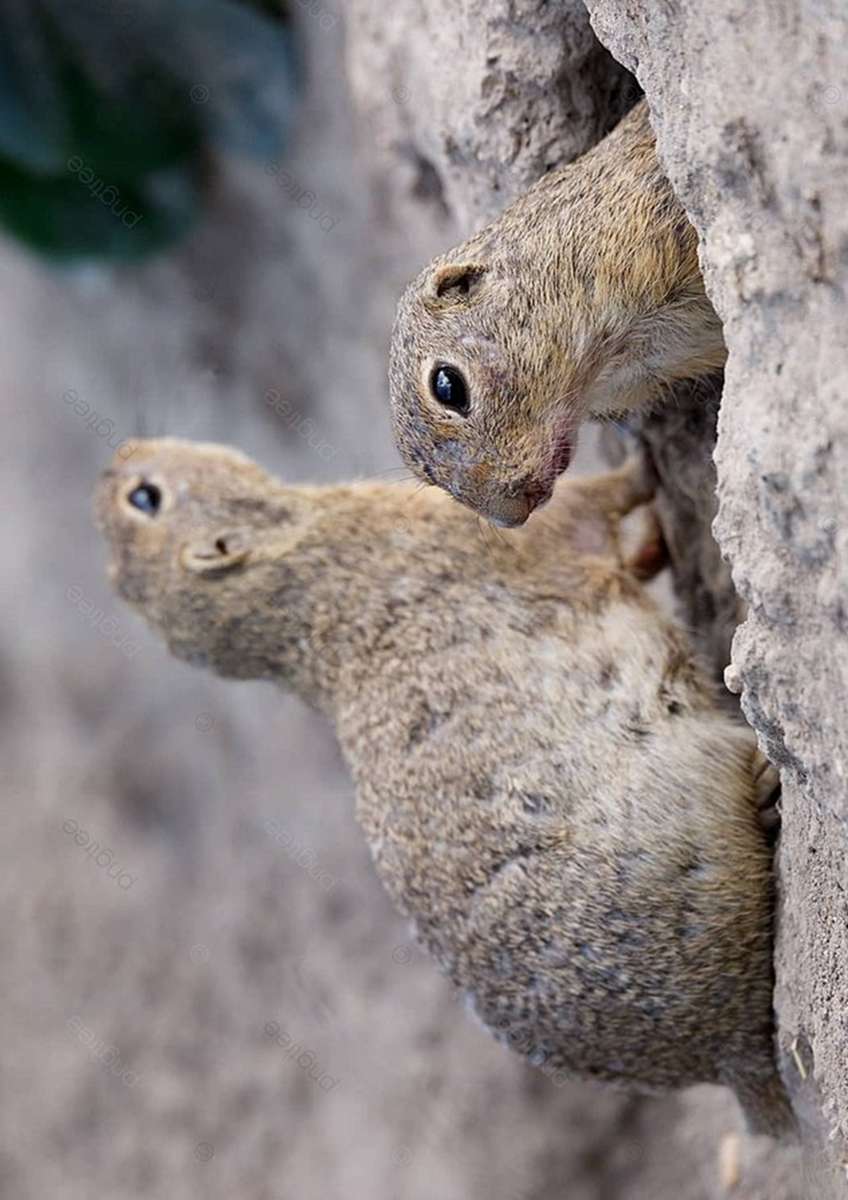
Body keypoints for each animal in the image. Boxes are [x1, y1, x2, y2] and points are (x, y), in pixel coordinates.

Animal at [91, 439, 791, 1132]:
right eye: (146, 497)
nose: (116, 456)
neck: (306, 551)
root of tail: (726, 1062)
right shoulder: (476, 532)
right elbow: (592, 502)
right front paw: (643, 459)